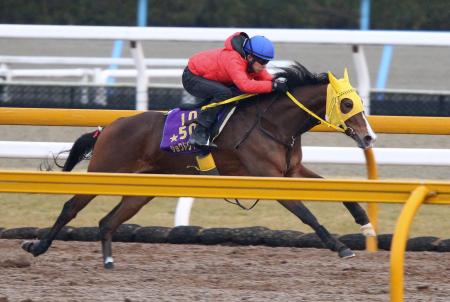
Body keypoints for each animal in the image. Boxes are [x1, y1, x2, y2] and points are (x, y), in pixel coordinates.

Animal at [22, 62, 378, 268]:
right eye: (348, 103)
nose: (368, 137)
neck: (273, 123)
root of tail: (108, 126)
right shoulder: (269, 178)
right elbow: (308, 215)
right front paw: (340, 247)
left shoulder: (291, 171)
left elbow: (337, 189)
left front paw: (364, 221)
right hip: (105, 171)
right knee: (70, 207)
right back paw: (37, 247)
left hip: (142, 188)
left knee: (108, 221)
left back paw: (109, 260)